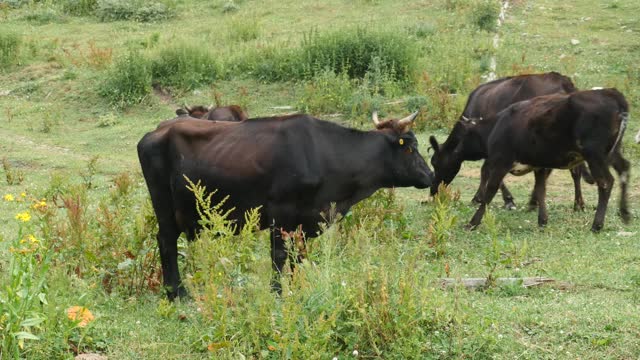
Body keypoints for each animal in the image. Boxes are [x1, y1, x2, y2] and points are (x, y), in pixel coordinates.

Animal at [137, 111, 432, 300]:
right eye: (411, 147)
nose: (429, 175)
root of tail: (157, 131)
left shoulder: (302, 221)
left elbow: (296, 256)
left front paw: (294, 287)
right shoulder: (280, 212)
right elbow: (279, 255)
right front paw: (278, 292)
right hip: (164, 205)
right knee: (166, 241)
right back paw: (176, 292)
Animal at [428, 71, 592, 210]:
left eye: (435, 163)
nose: (433, 191)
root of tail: (564, 82)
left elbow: (487, 171)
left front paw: (487, 199)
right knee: (573, 170)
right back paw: (576, 204)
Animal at [464, 88, 632, 232]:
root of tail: (611, 94)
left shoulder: (501, 161)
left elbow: (490, 189)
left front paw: (473, 222)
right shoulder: (538, 165)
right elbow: (541, 189)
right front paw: (542, 220)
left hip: (595, 155)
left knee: (606, 182)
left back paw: (597, 225)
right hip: (612, 152)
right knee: (624, 168)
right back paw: (624, 213)